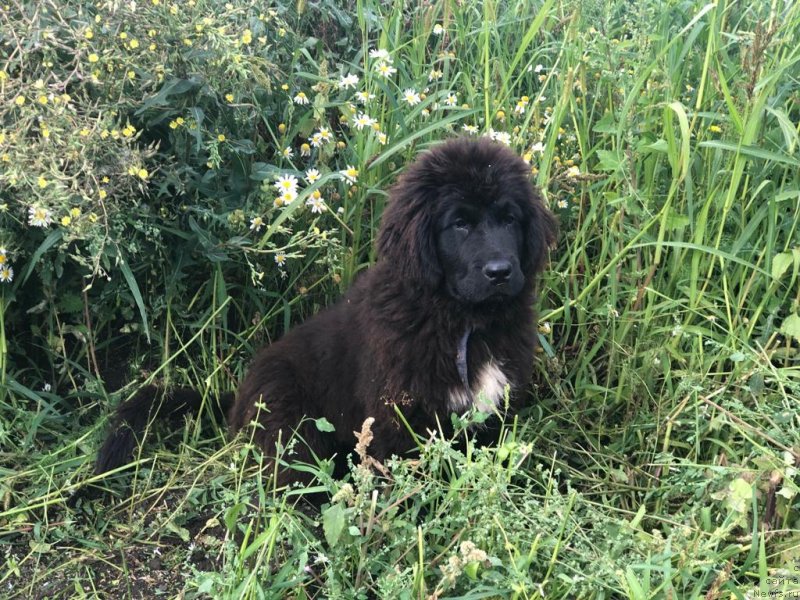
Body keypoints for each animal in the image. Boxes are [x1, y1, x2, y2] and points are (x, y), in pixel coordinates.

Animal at [95, 138, 556, 486]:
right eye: (459, 224)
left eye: (509, 218)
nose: (500, 272)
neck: (464, 321)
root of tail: (237, 400)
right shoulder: (395, 418)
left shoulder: (493, 413)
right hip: (291, 419)